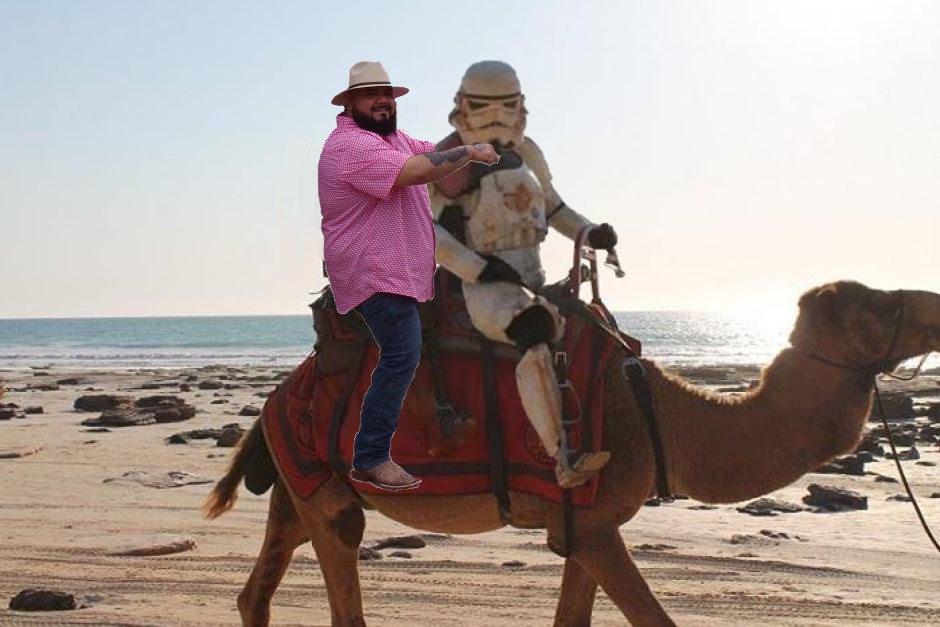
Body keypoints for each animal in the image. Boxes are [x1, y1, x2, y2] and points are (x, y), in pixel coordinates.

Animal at [204, 280, 940, 626]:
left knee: (257, 586)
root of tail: (277, 398)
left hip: (300, 481)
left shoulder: (585, 524)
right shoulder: (590, 524)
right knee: (342, 574)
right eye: (877, 309)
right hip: (327, 482)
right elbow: (653, 617)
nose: (934, 303)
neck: (658, 417)